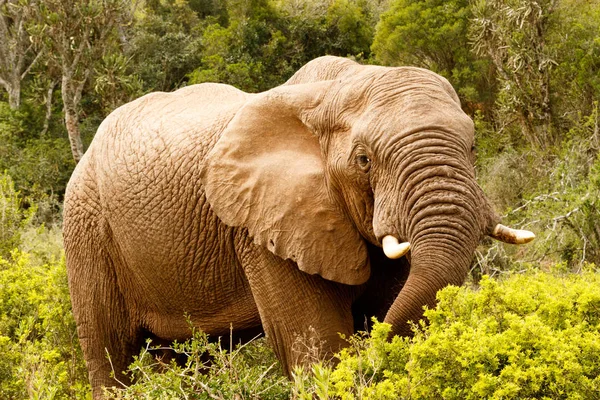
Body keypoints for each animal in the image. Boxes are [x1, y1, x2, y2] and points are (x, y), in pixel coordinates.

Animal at [63, 56, 532, 396]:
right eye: (364, 160)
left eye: (473, 146)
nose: (368, 351)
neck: (330, 93)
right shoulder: (261, 229)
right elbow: (317, 346)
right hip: (86, 228)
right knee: (110, 354)